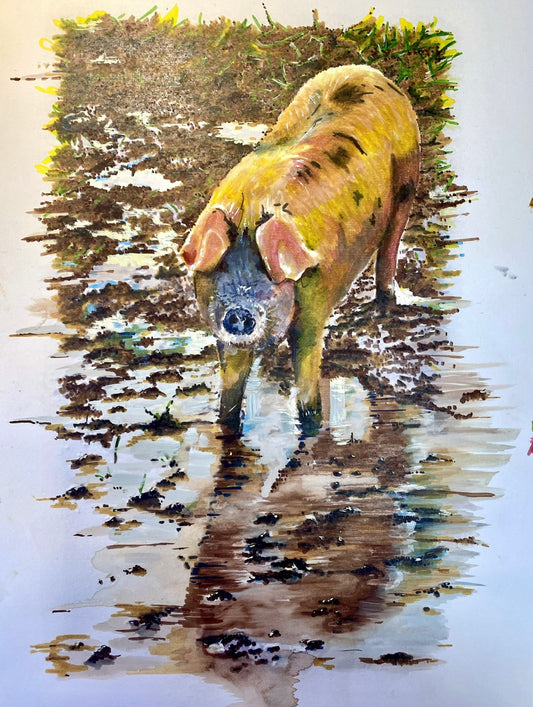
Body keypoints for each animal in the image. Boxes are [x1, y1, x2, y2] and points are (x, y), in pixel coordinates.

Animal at [181, 64, 420, 434]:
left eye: (268, 273)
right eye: (221, 267)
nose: (239, 313)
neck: (249, 212)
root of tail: (370, 72)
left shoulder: (315, 304)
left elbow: (308, 383)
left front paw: (312, 424)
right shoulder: (224, 338)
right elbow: (230, 395)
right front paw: (227, 428)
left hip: (407, 183)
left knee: (389, 250)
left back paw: (380, 307)